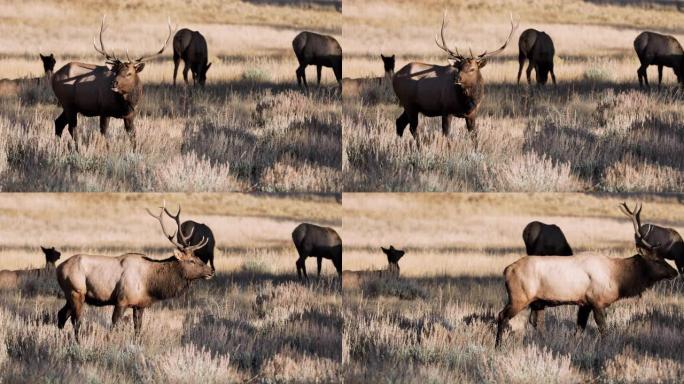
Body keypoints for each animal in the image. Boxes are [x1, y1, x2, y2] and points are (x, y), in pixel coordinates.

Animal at [51, 15, 174, 149]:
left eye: (129, 73)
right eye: (116, 72)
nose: (113, 83)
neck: (126, 103)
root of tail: (54, 77)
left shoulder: (130, 115)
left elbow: (133, 136)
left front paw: (135, 150)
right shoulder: (104, 110)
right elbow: (104, 133)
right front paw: (108, 150)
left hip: (70, 106)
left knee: (59, 123)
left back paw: (57, 147)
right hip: (68, 103)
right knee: (72, 128)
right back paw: (77, 149)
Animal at [55, 204, 211, 342]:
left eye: (198, 257)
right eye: (191, 260)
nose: (211, 271)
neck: (150, 284)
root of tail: (58, 268)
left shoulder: (139, 304)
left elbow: (138, 330)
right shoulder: (121, 300)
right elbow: (113, 326)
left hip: (72, 295)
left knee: (61, 315)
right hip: (76, 291)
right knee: (76, 321)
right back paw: (77, 343)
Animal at [392, 11, 516, 146]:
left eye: (472, 69)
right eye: (459, 67)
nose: (457, 79)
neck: (468, 102)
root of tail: (395, 76)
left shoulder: (472, 114)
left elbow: (474, 135)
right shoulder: (446, 110)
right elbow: (446, 135)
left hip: (411, 106)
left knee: (400, 122)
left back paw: (398, 144)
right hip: (408, 103)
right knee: (412, 127)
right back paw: (418, 146)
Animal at [496, 204, 680, 348]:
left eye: (664, 258)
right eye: (657, 260)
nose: (675, 272)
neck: (617, 278)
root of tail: (506, 270)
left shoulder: (584, 303)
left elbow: (579, 329)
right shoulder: (596, 301)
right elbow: (603, 330)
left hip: (536, 301)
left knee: (535, 321)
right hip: (519, 296)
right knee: (502, 316)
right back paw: (498, 346)